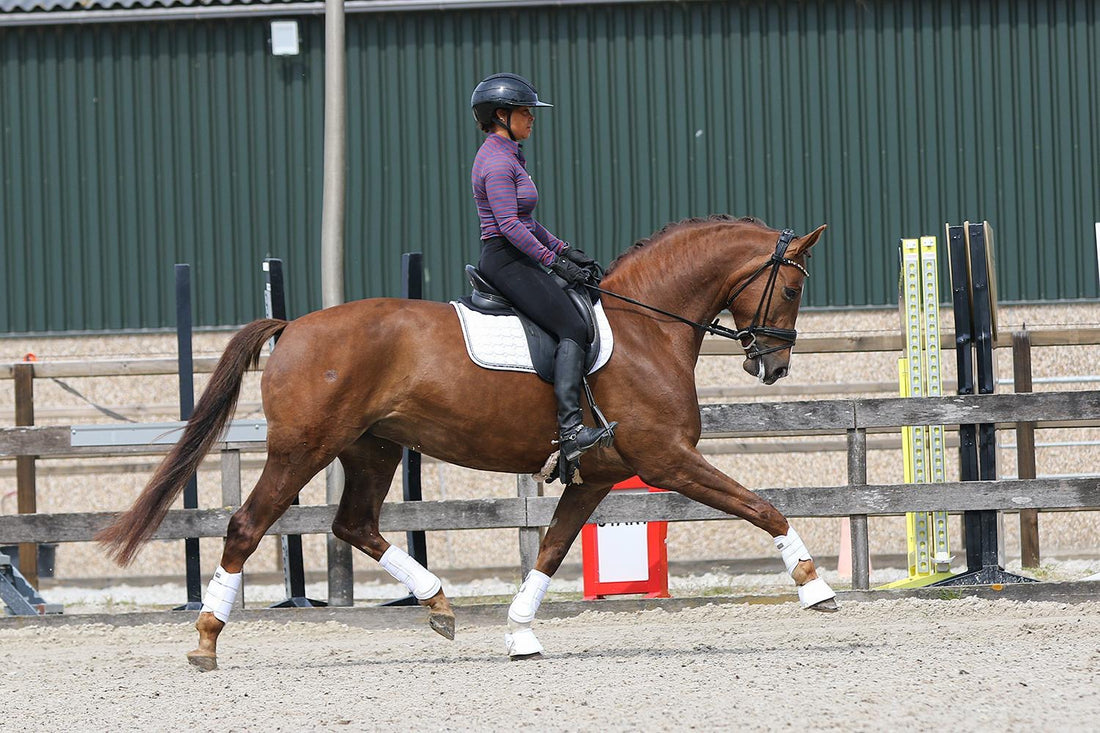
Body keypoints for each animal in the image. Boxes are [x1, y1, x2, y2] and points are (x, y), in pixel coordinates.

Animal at [97, 214, 831, 670]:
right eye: (794, 286)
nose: (774, 365)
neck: (645, 326)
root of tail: (294, 325)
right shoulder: (667, 458)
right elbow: (762, 506)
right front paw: (814, 586)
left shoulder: (596, 476)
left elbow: (550, 550)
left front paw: (520, 633)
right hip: (302, 449)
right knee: (248, 525)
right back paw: (206, 640)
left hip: (372, 448)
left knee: (354, 523)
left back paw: (440, 604)